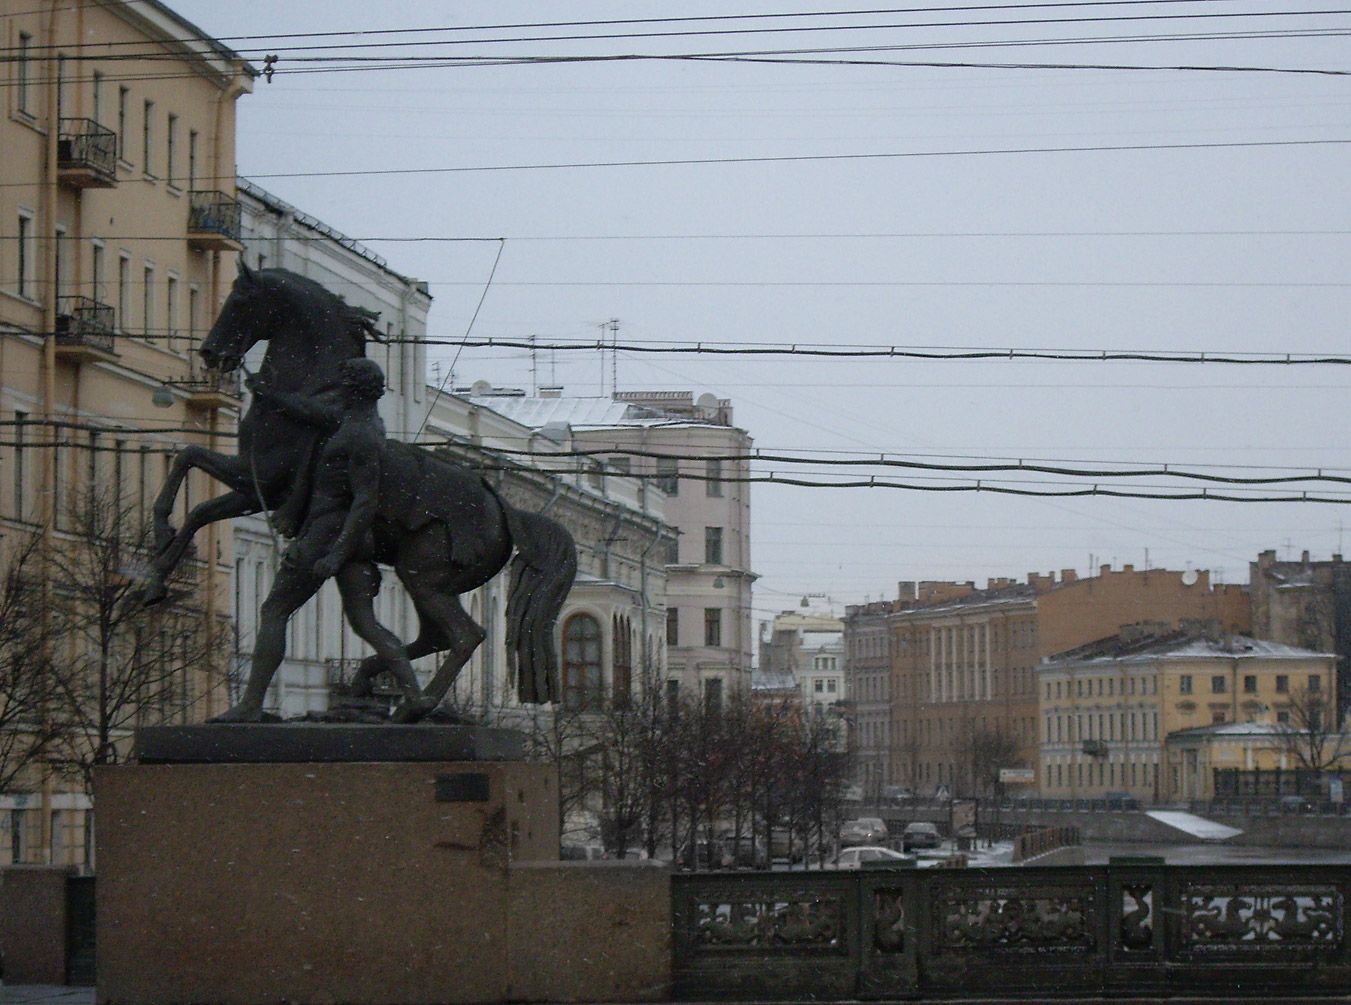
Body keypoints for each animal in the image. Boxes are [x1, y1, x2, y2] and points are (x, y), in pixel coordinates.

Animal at [146, 263, 575, 718]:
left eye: (241, 299)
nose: (211, 353)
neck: (316, 398)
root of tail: (502, 506)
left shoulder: (259, 479)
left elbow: (189, 464)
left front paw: (159, 538)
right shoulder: (251, 487)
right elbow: (196, 494)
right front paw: (156, 572)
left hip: (423, 577)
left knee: (464, 636)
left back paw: (411, 706)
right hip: (426, 580)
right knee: (432, 637)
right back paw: (379, 687)